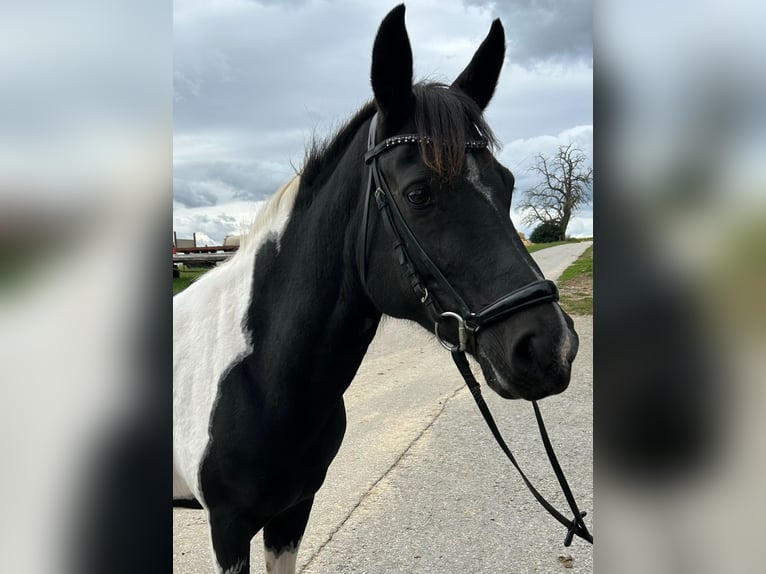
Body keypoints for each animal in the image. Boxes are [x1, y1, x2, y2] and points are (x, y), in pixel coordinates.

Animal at [174, 5, 580, 574]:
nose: (550, 348)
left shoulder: (293, 511)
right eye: (418, 193)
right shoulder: (228, 529)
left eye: (507, 184)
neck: (258, 371)